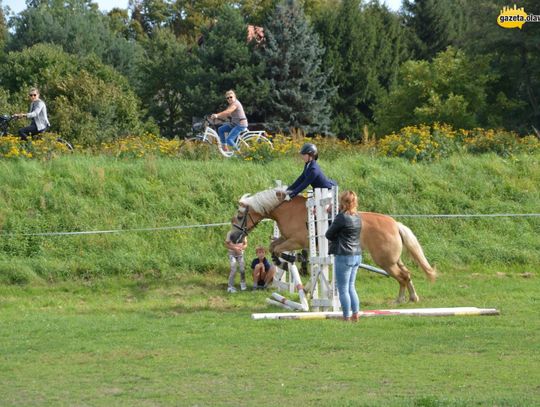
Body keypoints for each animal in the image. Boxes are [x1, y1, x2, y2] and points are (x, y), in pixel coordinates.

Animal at [227, 187, 434, 302]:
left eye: (239, 216)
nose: (234, 238)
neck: (286, 210)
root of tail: (394, 224)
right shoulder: (287, 239)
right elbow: (273, 247)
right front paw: (287, 261)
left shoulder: (296, 240)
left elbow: (278, 250)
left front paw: (285, 261)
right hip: (392, 258)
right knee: (406, 273)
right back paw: (413, 297)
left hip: (385, 261)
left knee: (402, 276)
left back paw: (400, 300)